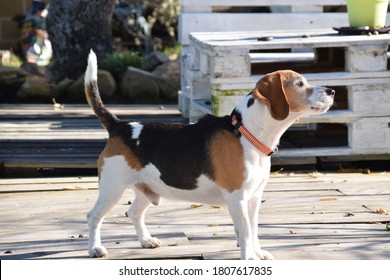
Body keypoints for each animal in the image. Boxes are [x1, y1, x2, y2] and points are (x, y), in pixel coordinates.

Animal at [85, 49, 336, 260]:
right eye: (299, 83)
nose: (332, 91)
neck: (246, 133)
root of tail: (118, 125)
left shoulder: (254, 198)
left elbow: (253, 230)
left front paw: (257, 253)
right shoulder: (237, 198)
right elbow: (245, 232)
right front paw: (248, 259)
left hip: (147, 190)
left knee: (134, 212)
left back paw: (146, 241)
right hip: (112, 189)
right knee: (94, 216)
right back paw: (95, 248)